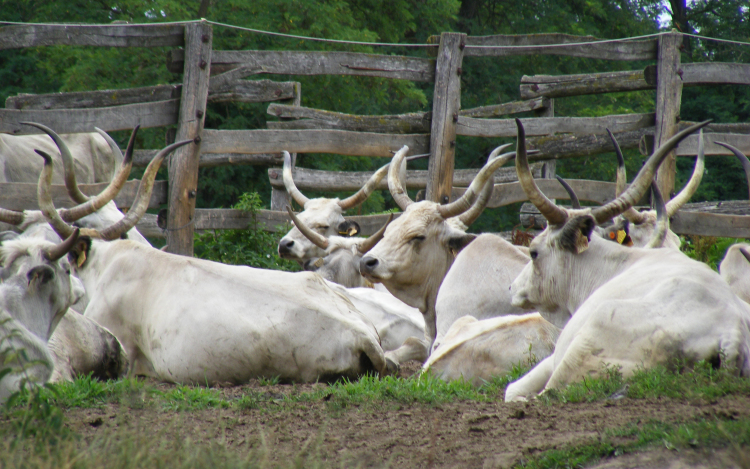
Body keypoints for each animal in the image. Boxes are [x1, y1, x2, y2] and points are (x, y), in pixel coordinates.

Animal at [502, 119, 750, 400]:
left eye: (533, 252)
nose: (512, 287)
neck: (608, 266)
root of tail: (733, 332)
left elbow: (512, 389)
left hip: (585, 343)